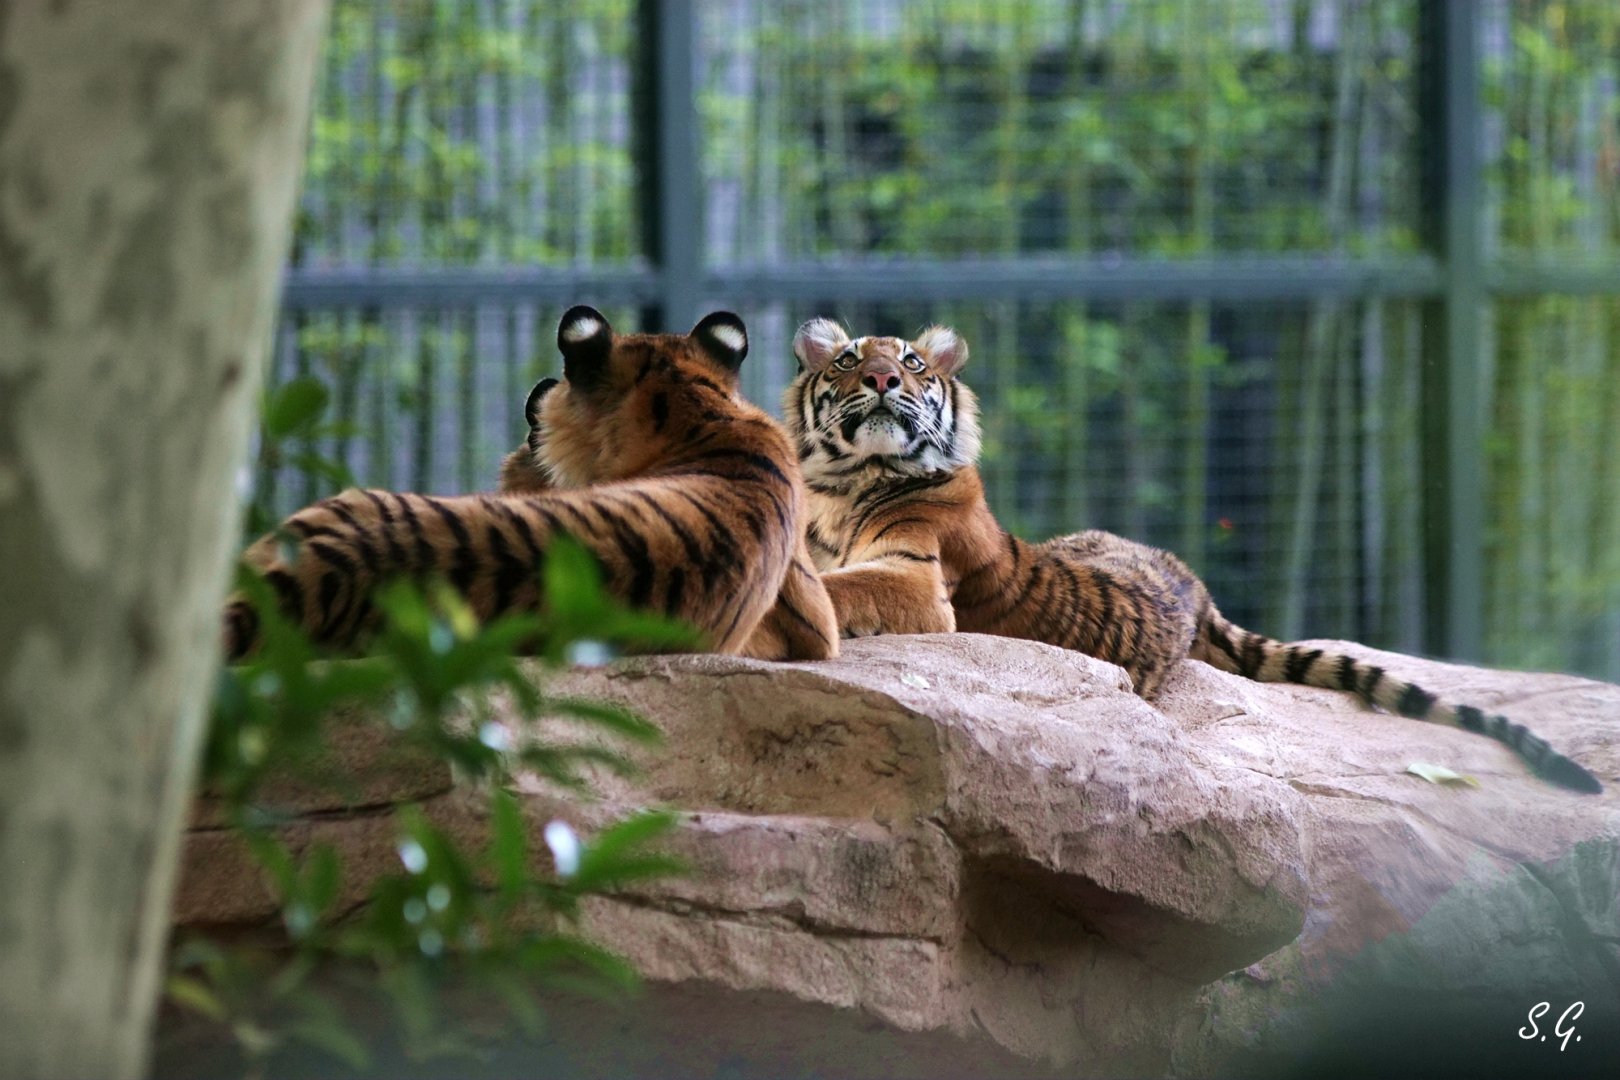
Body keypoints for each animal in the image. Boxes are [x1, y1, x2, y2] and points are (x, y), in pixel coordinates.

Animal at [783, 316, 1603, 794]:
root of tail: (1194, 585)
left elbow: (844, 589)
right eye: (850, 358)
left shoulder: (917, 581)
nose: (883, 378)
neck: (845, 481)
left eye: (914, 362)